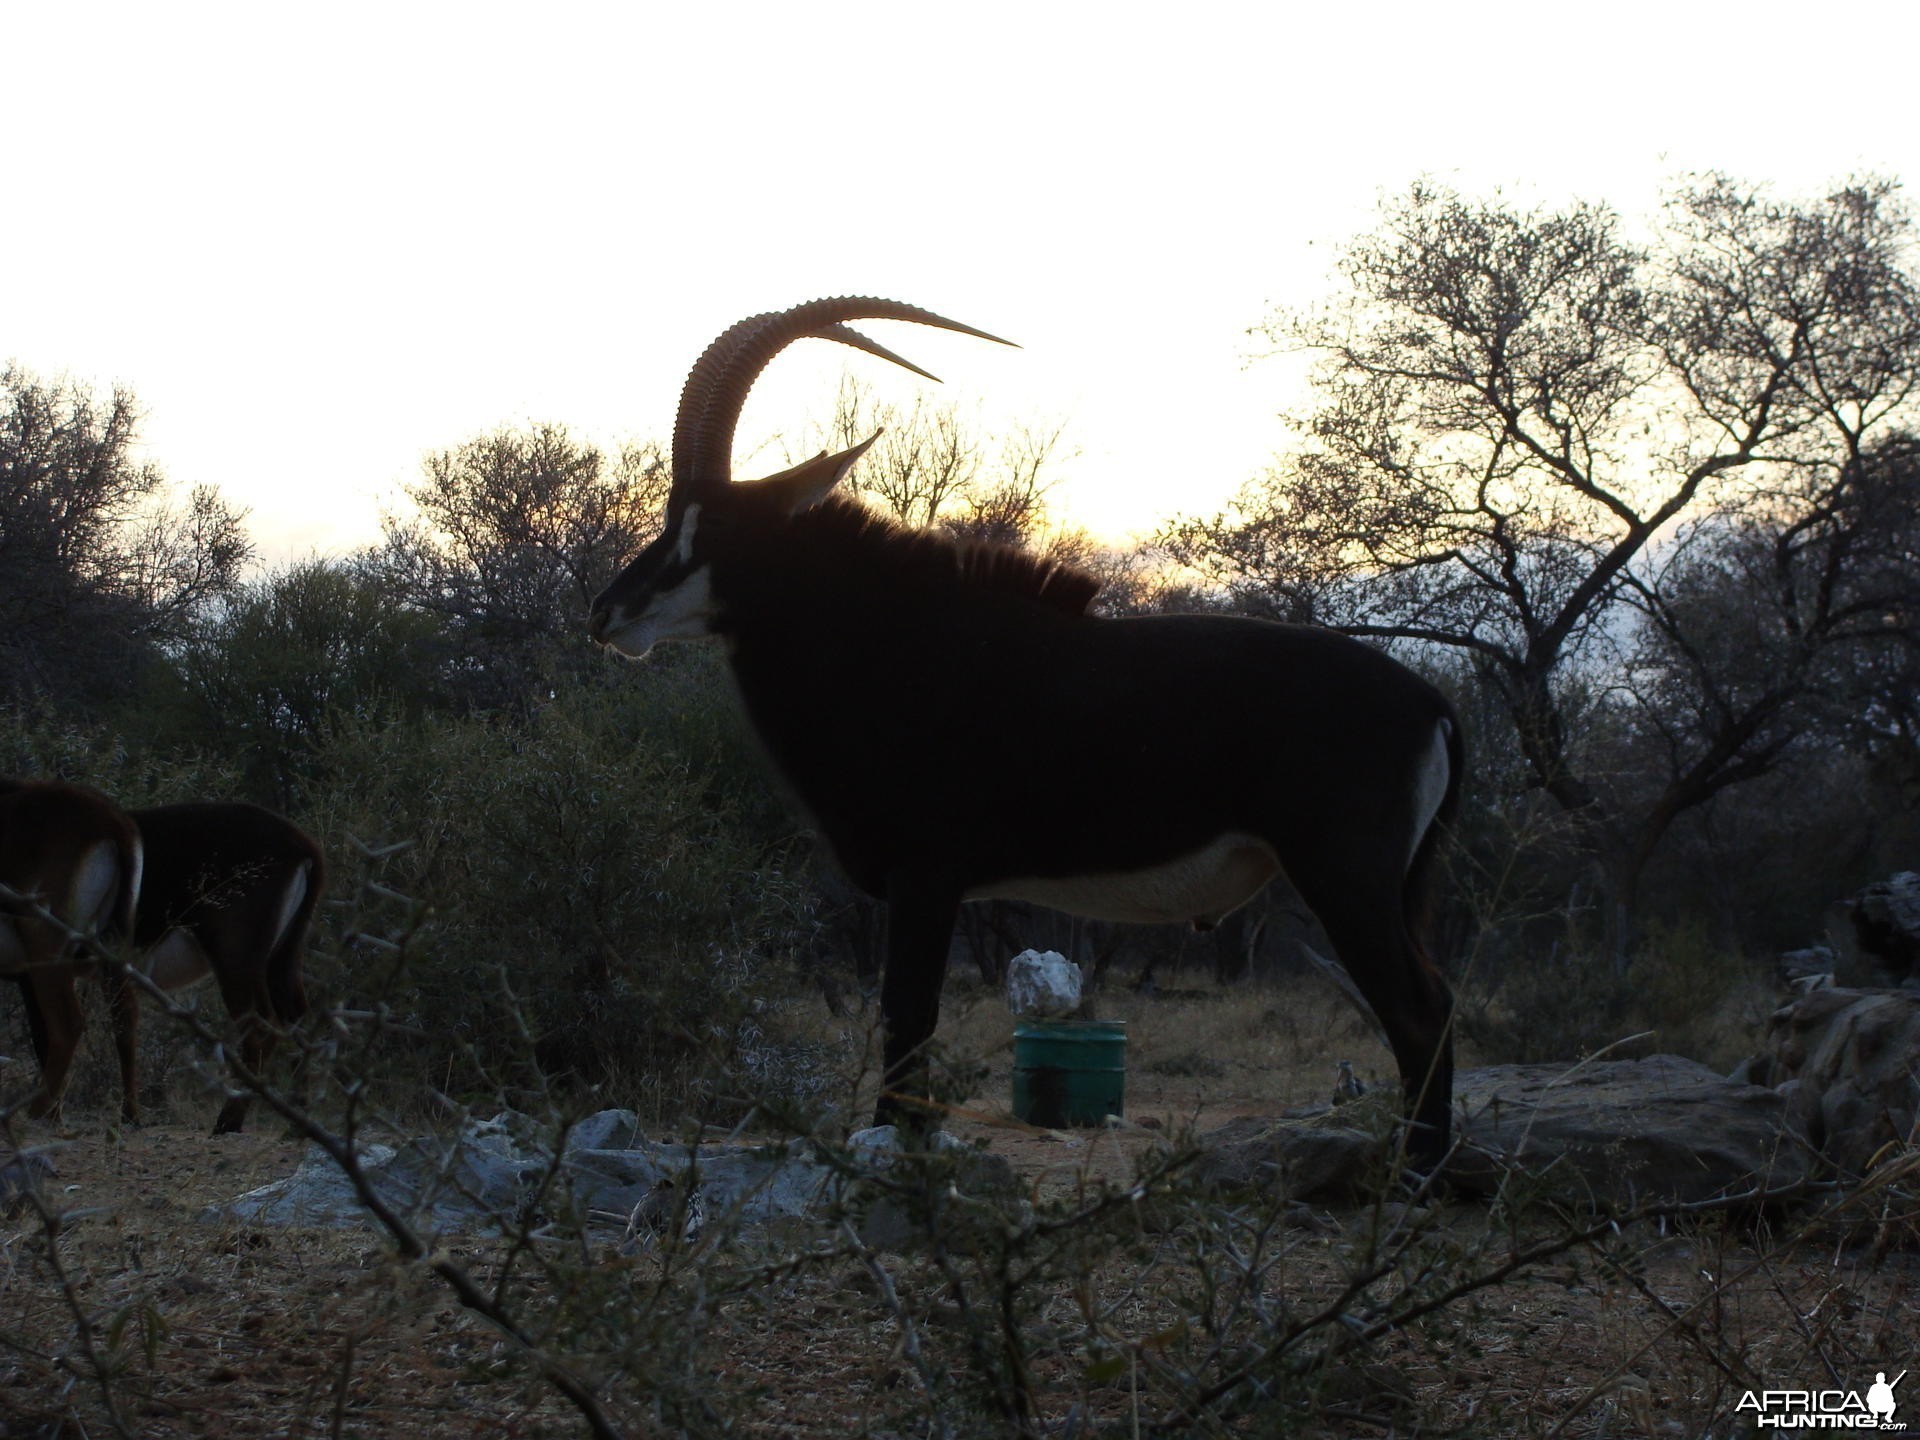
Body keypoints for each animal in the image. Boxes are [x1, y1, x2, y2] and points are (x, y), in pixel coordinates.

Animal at [591, 299, 1459, 1175]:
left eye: (717, 523)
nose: (608, 611)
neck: (886, 638)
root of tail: (1431, 702)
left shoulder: (926, 877)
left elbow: (908, 1014)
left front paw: (896, 1142)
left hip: (1345, 878)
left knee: (1420, 1011)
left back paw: (1419, 1174)